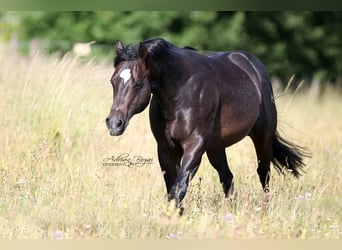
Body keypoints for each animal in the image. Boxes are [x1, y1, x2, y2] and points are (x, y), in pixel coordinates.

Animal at [105, 38, 308, 208]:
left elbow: (179, 187)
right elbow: (172, 187)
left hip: (262, 139)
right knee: (227, 177)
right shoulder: (165, 149)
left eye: (138, 83)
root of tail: (254, 66)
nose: (114, 124)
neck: (180, 90)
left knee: (263, 174)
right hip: (216, 147)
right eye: (112, 81)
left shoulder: (195, 146)